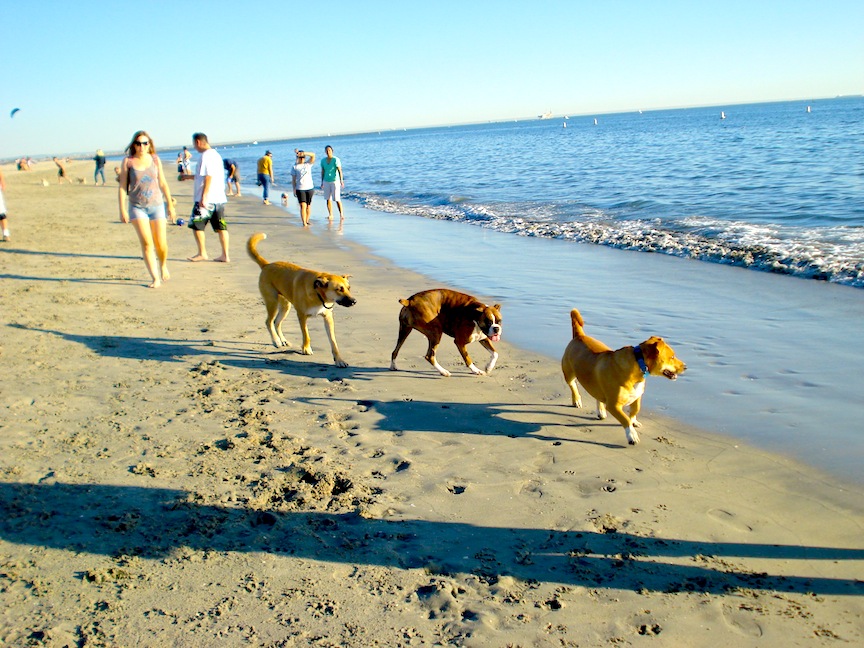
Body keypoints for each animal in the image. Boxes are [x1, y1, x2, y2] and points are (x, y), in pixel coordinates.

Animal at [248, 233, 356, 368]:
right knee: (269, 322)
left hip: (285, 306)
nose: (354, 301)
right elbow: (306, 334)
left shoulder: (328, 318)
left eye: (348, 288)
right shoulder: (302, 316)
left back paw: (283, 340)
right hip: (272, 302)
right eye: (339, 289)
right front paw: (306, 349)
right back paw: (276, 340)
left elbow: (333, 341)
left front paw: (339, 360)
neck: (318, 293)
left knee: (277, 322)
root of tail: (267, 265)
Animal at [560, 308, 688, 446]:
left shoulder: (637, 395)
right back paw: (577, 400)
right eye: (672, 357)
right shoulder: (613, 405)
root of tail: (579, 335)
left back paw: (601, 411)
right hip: (569, 373)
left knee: (597, 394)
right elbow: (625, 419)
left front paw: (634, 422)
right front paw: (631, 435)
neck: (638, 365)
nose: (686, 367)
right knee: (573, 385)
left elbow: (635, 411)